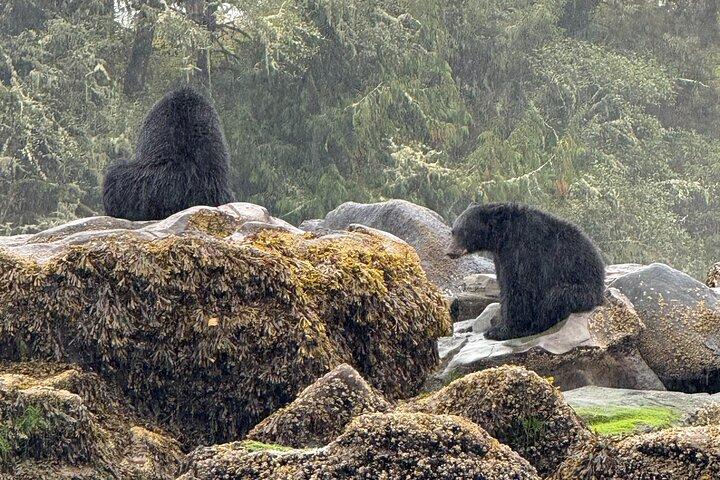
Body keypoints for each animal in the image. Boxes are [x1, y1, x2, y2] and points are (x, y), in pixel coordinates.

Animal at [447, 202, 605, 340]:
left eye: (465, 231)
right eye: (453, 231)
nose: (450, 252)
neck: (504, 235)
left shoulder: (524, 251)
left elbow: (519, 287)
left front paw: (500, 331)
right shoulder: (501, 256)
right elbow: (504, 284)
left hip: (581, 290)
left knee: (555, 298)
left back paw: (535, 326)